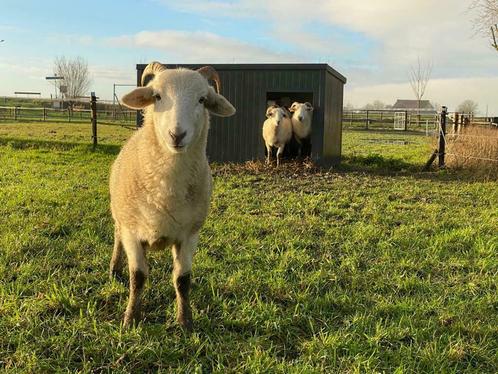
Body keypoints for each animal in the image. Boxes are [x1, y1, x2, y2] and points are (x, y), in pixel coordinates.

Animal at [110, 60, 237, 328]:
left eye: (202, 99)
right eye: (157, 96)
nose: (176, 135)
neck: (165, 189)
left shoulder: (189, 235)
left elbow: (182, 280)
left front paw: (185, 321)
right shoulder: (132, 232)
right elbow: (137, 277)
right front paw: (131, 318)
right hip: (120, 217)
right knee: (116, 239)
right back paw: (115, 268)